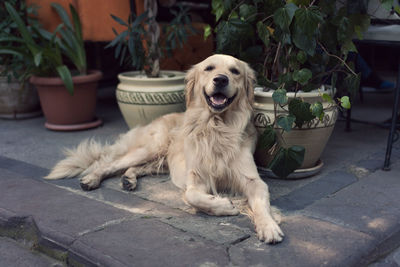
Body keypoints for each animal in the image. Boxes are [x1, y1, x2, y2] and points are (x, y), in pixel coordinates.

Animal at [45, 54, 284, 245]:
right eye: (209, 68)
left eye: (235, 71)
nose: (221, 79)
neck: (216, 126)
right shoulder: (196, 178)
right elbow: (193, 196)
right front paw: (224, 205)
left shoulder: (253, 180)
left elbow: (261, 204)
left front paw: (268, 226)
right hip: (151, 147)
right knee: (110, 164)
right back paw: (91, 179)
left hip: (162, 160)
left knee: (137, 167)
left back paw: (128, 179)